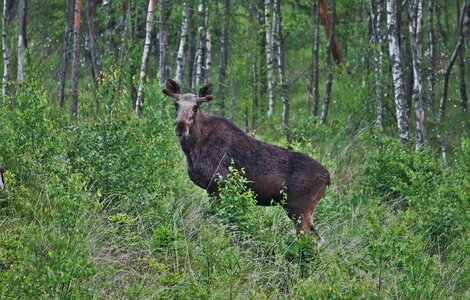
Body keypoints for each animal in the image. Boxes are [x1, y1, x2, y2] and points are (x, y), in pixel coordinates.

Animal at [162, 78, 330, 247]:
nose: (180, 127)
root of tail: (328, 178)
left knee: (314, 239)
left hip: (299, 209)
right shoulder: (212, 189)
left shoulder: (220, 184)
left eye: (196, 107)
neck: (192, 149)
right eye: (176, 104)